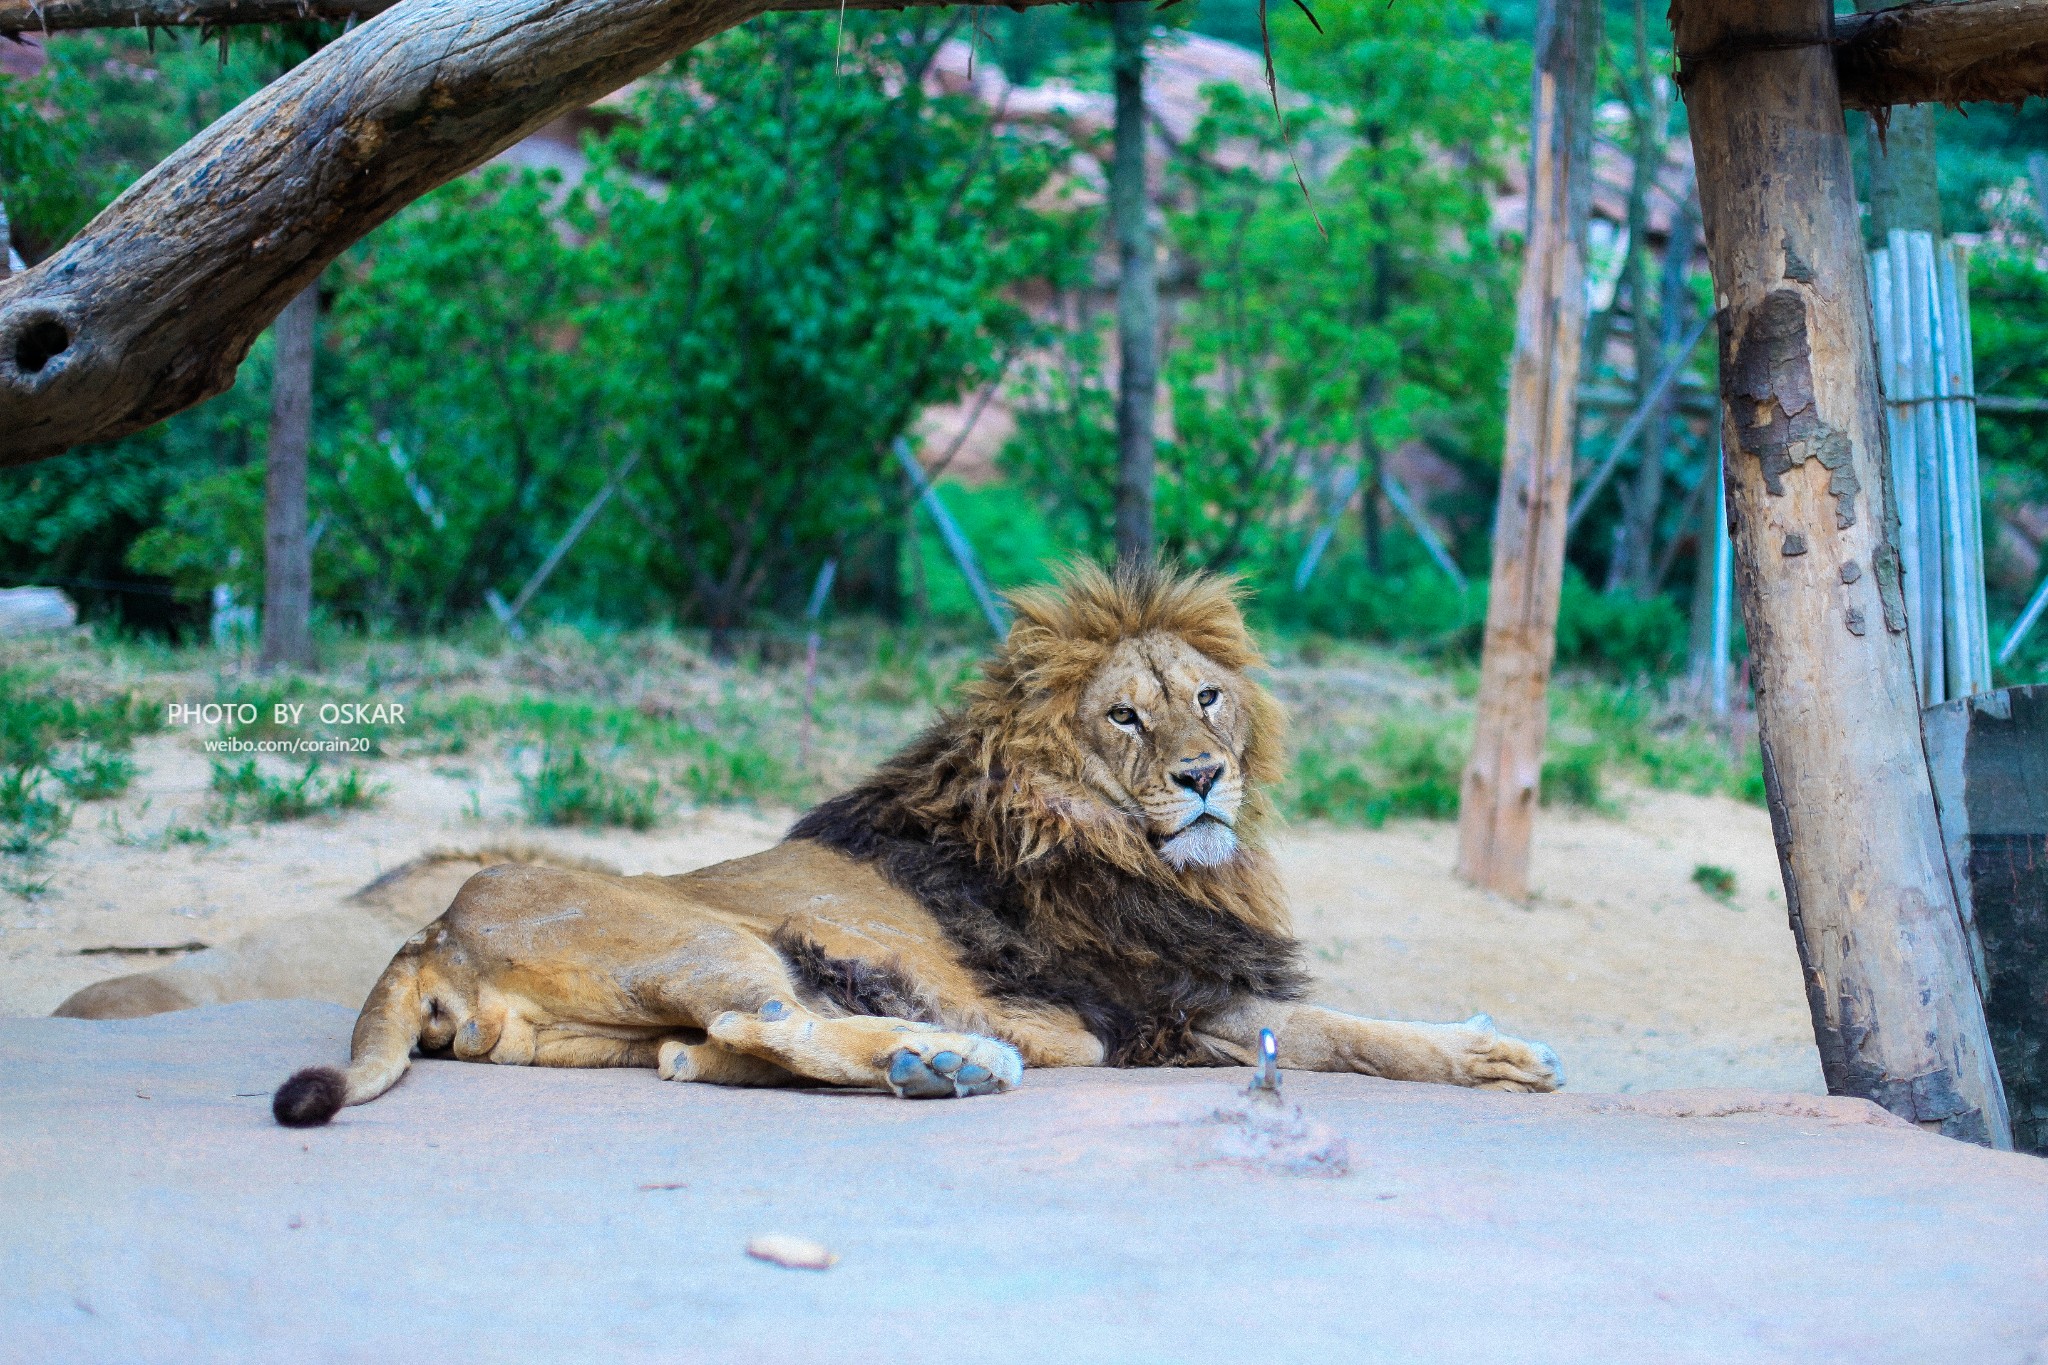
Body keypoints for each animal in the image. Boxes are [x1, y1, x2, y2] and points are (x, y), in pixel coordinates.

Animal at [268, 560, 1548, 1129]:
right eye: (1124, 717)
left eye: (1207, 698)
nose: (1203, 779)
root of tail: (432, 930)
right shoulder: (1158, 1005)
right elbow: (1350, 1029)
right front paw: (1485, 1049)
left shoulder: (1185, 998)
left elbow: (1348, 1034)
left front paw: (1489, 1052)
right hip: (702, 938)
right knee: (762, 1020)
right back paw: (952, 1061)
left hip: (595, 1033)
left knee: (703, 1052)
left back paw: (920, 1059)